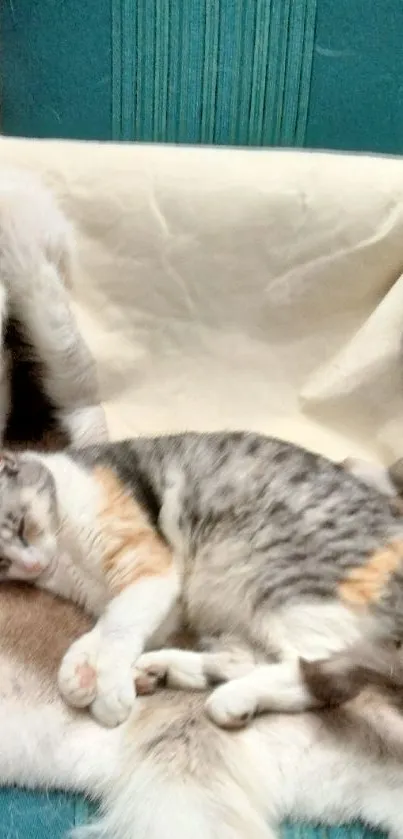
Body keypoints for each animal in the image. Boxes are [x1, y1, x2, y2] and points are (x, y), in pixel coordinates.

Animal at [0, 434, 403, 728]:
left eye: (22, 525)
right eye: (3, 562)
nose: (34, 565)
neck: (66, 558)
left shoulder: (151, 570)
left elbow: (118, 628)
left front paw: (108, 688)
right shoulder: (139, 600)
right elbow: (104, 627)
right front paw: (79, 673)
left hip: (286, 587)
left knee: (324, 676)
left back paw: (233, 698)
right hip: (228, 608)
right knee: (247, 660)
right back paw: (158, 669)